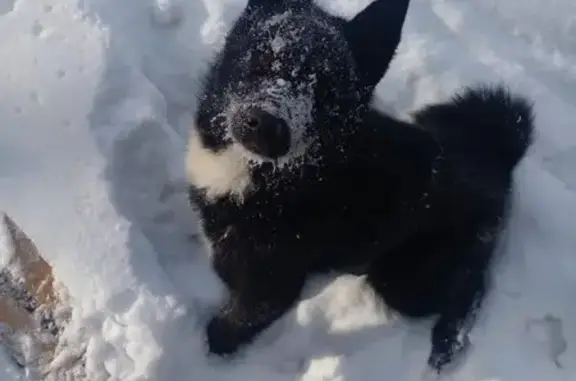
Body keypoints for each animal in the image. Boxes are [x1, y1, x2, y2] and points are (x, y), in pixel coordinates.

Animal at [187, 0, 532, 374]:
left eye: (326, 89)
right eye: (265, 55)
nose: (266, 125)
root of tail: (496, 159)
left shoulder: (273, 286)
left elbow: (233, 324)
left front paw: (213, 349)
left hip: (404, 281)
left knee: (470, 287)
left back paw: (448, 341)